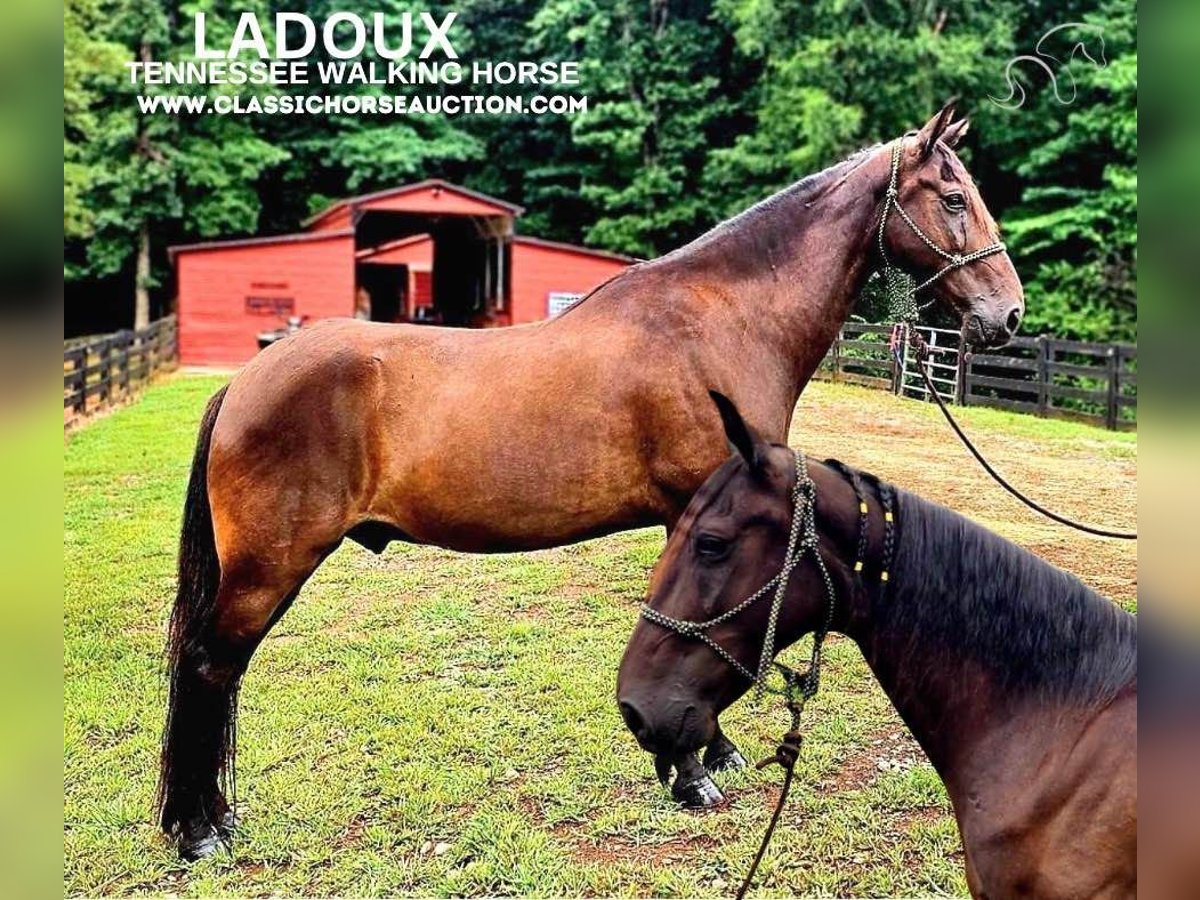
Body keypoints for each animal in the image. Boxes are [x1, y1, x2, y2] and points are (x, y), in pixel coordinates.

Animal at [154, 105, 1027, 859]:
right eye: (954, 198)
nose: (1008, 315)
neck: (721, 323)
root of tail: (244, 382)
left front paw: (712, 752)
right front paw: (693, 777)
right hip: (266, 570)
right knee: (207, 669)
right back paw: (199, 832)